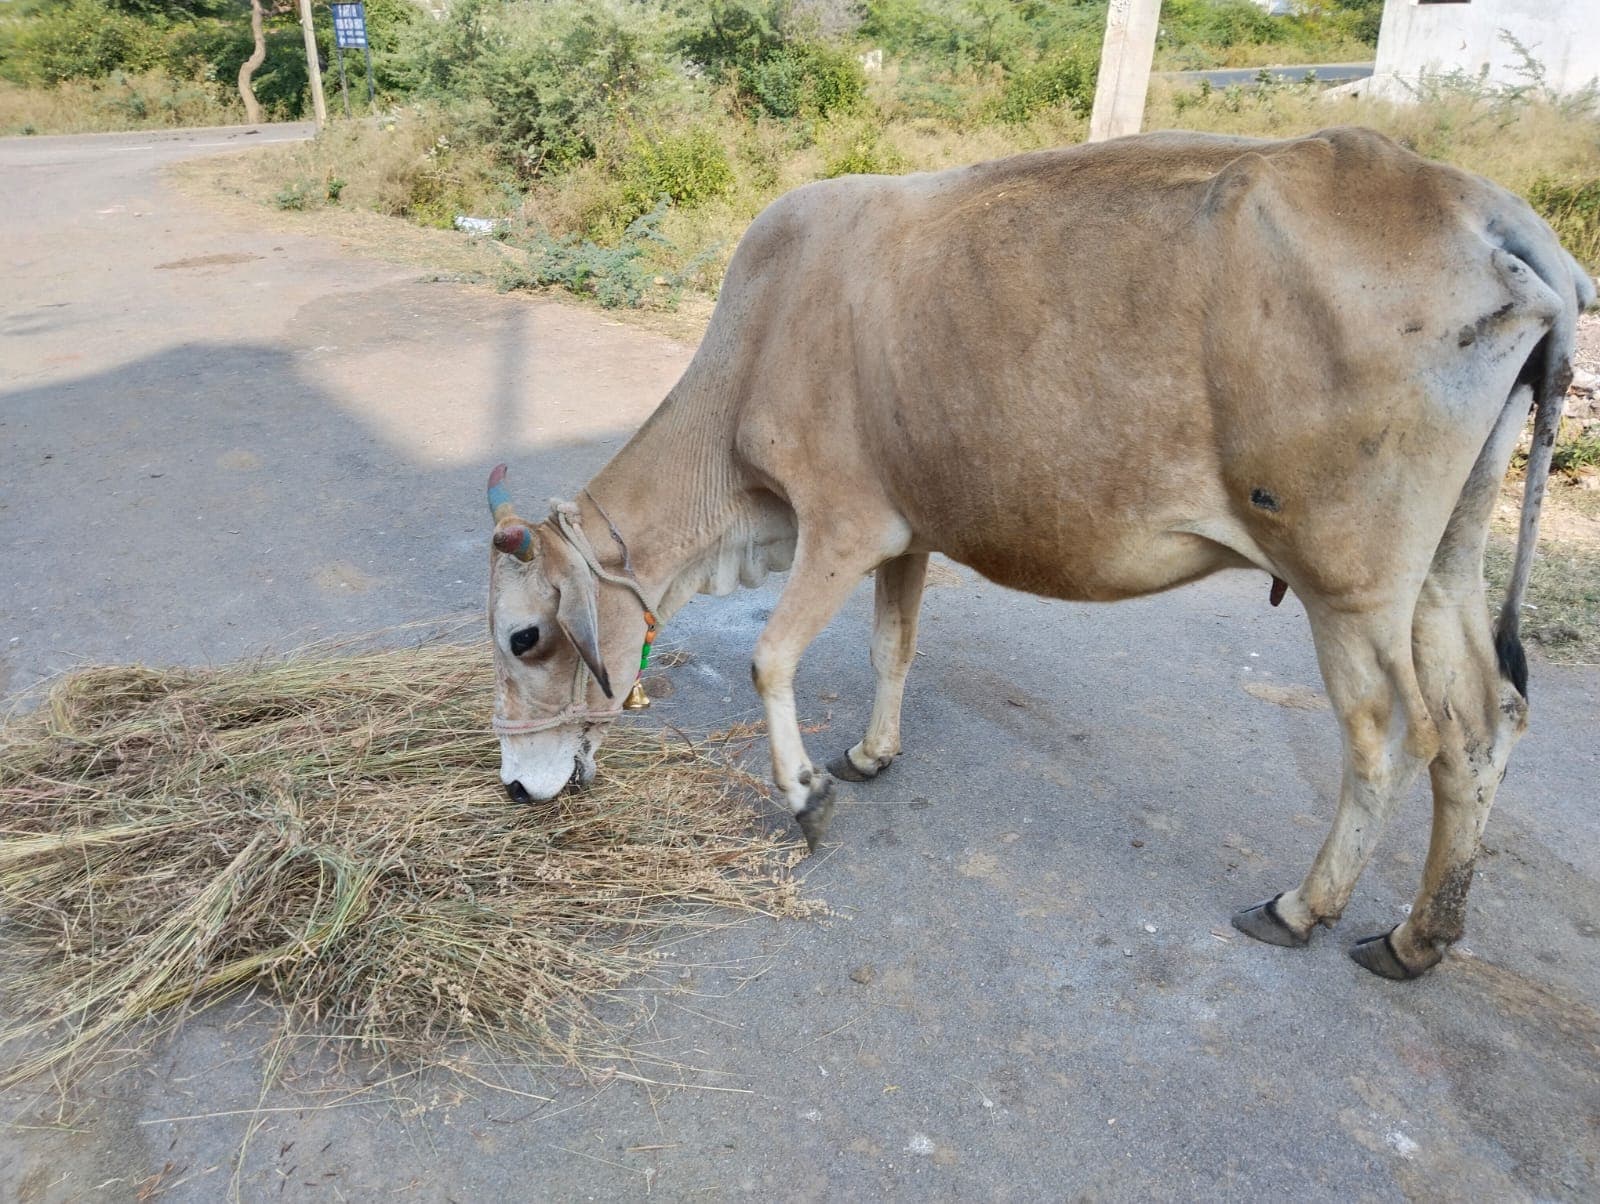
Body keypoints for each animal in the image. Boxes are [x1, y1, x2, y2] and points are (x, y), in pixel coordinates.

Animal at [483, 127, 1594, 981]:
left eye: (525, 636)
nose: (514, 790)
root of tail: (1489, 209)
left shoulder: (843, 522)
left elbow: (771, 657)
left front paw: (806, 796)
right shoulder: (908, 528)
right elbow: (893, 645)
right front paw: (870, 755)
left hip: (1348, 585)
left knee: (1388, 739)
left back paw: (1300, 907)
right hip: (1441, 567)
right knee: (1480, 722)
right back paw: (1415, 937)